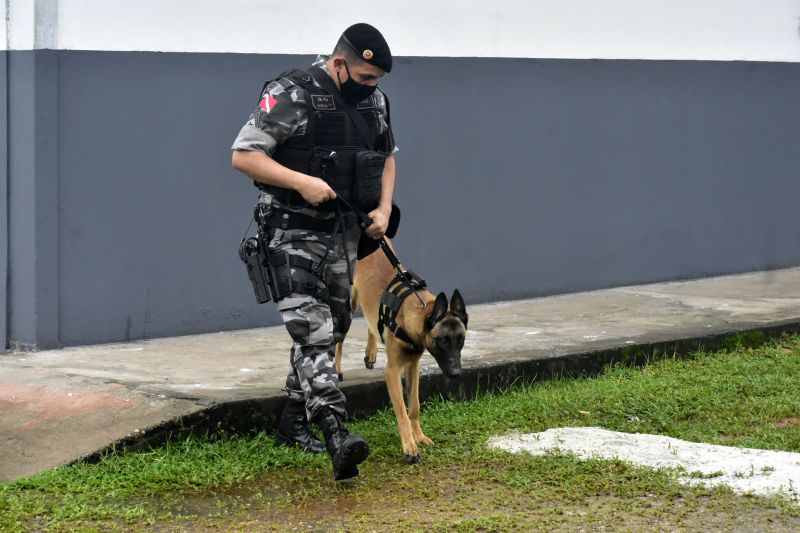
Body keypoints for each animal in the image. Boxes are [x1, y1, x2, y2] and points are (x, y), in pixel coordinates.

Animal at [332, 239, 468, 464]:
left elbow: (414, 407)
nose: (457, 374)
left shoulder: (413, 366)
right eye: (443, 340)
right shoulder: (393, 372)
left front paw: (419, 437)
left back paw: (371, 352)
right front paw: (410, 447)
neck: (413, 311)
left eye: (461, 339)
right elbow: (403, 413)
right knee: (338, 339)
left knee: (370, 322)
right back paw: (336, 369)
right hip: (347, 307)